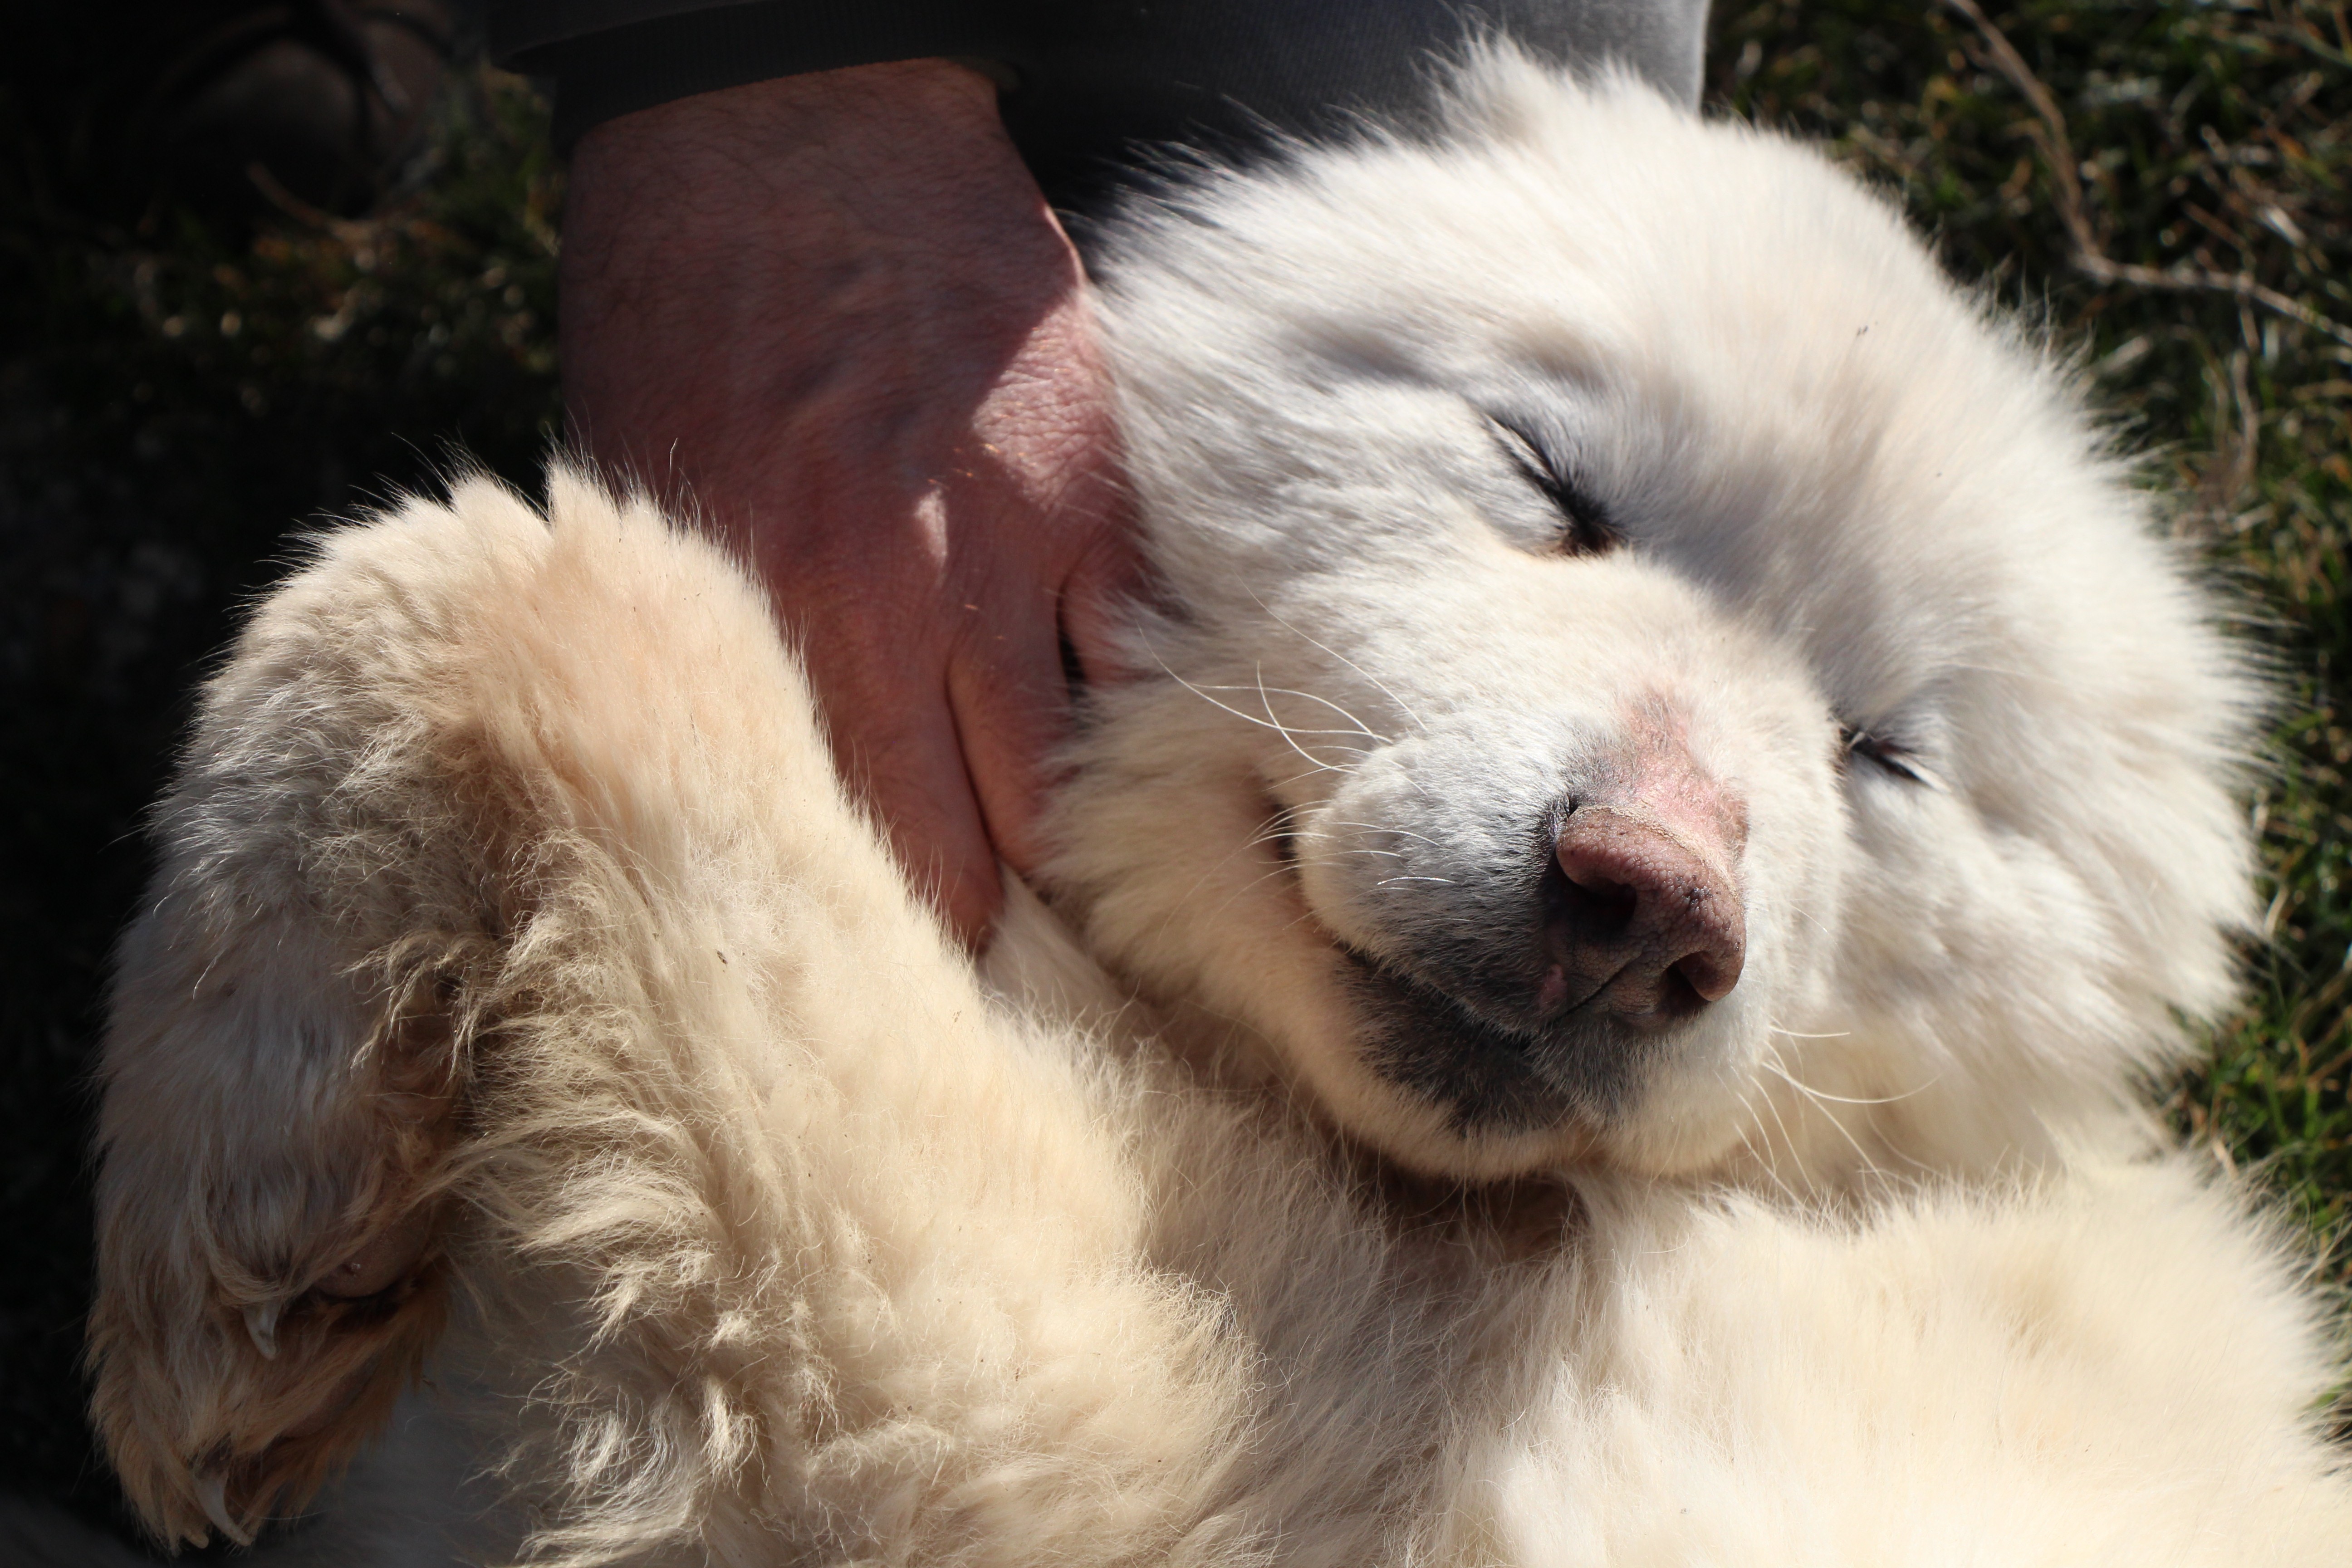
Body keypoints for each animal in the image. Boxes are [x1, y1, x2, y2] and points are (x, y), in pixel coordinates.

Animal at [78, 55, 2352, 1561]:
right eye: (1547, 480)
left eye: (1886, 749)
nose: (1642, 898)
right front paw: (271, 1216)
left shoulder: (1025, 1420)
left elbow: (529, 570)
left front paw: (228, 1244)